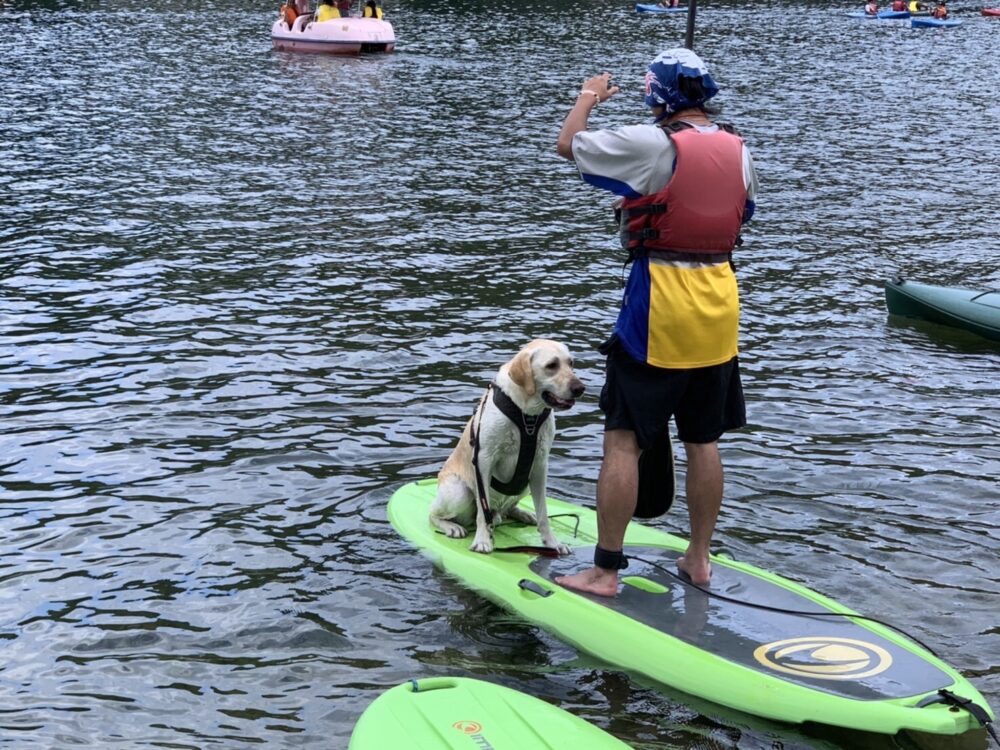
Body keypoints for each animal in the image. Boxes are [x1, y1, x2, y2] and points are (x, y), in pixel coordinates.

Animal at [430, 340, 584, 552]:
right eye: (551, 365)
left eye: (571, 363)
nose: (580, 388)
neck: (527, 414)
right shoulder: (484, 460)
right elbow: (482, 510)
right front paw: (482, 540)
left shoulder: (540, 465)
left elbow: (543, 512)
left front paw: (553, 543)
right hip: (458, 492)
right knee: (435, 514)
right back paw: (452, 527)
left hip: (524, 485)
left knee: (507, 509)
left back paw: (522, 514)